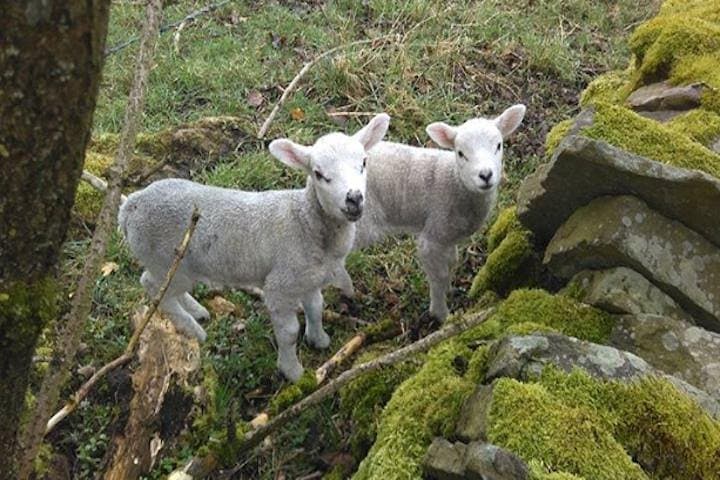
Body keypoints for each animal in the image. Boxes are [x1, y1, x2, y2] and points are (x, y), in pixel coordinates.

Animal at [118, 113, 390, 381]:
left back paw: (197, 311)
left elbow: (316, 307)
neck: (305, 221)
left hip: (174, 264)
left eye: (364, 163)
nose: (354, 199)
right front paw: (293, 372)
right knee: (152, 285)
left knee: (166, 288)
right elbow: (289, 332)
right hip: (161, 257)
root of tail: (131, 204)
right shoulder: (280, 285)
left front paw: (319, 339)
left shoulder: (309, 279)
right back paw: (193, 329)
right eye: (319, 173)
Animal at [332, 105, 526, 321]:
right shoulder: (433, 234)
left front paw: (449, 289)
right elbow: (438, 276)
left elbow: (452, 262)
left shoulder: (448, 236)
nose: (485, 175)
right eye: (460, 153)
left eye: (498, 145)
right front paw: (441, 314)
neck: (456, 184)